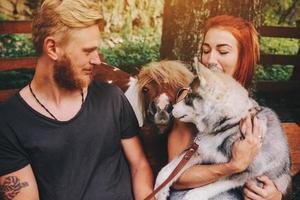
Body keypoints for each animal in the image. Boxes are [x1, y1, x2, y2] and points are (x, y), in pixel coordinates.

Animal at [155, 63, 290, 198]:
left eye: (188, 96)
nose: (171, 107)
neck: (228, 125)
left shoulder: (247, 171)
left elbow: (203, 189)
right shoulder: (198, 152)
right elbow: (165, 171)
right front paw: (160, 192)